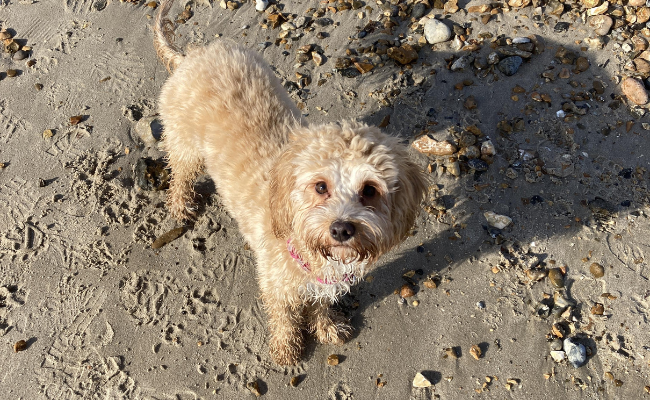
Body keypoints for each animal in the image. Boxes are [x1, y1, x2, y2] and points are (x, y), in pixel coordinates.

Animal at [151, 0, 426, 364]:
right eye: (320, 186)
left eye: (370, 190)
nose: (341, 229)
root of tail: (190, 56)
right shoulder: (276, 284)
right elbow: (283, 316)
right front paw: (286, 347)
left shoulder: (322, 282)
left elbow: (321, 302)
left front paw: (327, 326)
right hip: (186, 145)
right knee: (180, 174)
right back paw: (182, 206)